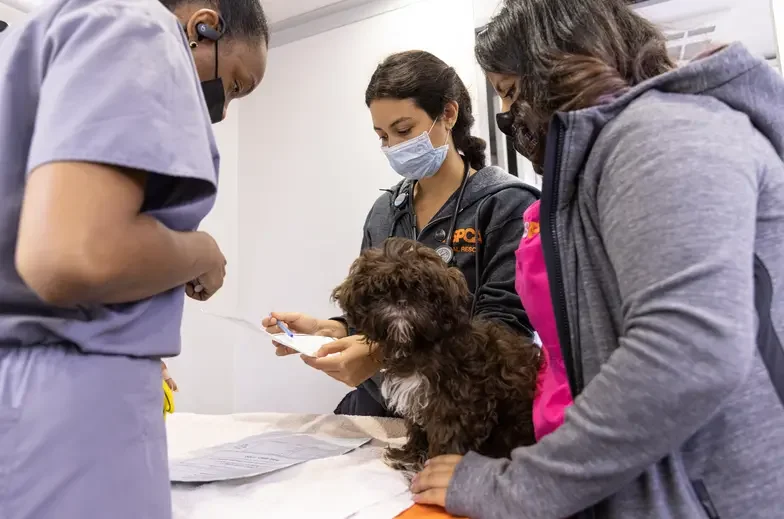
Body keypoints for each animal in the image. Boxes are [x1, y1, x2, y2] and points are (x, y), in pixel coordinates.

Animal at [330, 238, 540, 474]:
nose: (401, 301)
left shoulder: (456, 406)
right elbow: (418, 429)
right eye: (382, 288)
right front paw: (409, 457)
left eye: (421, 289)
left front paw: (433, 471)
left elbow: (447, 439)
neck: (418, 345)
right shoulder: (417, 399)